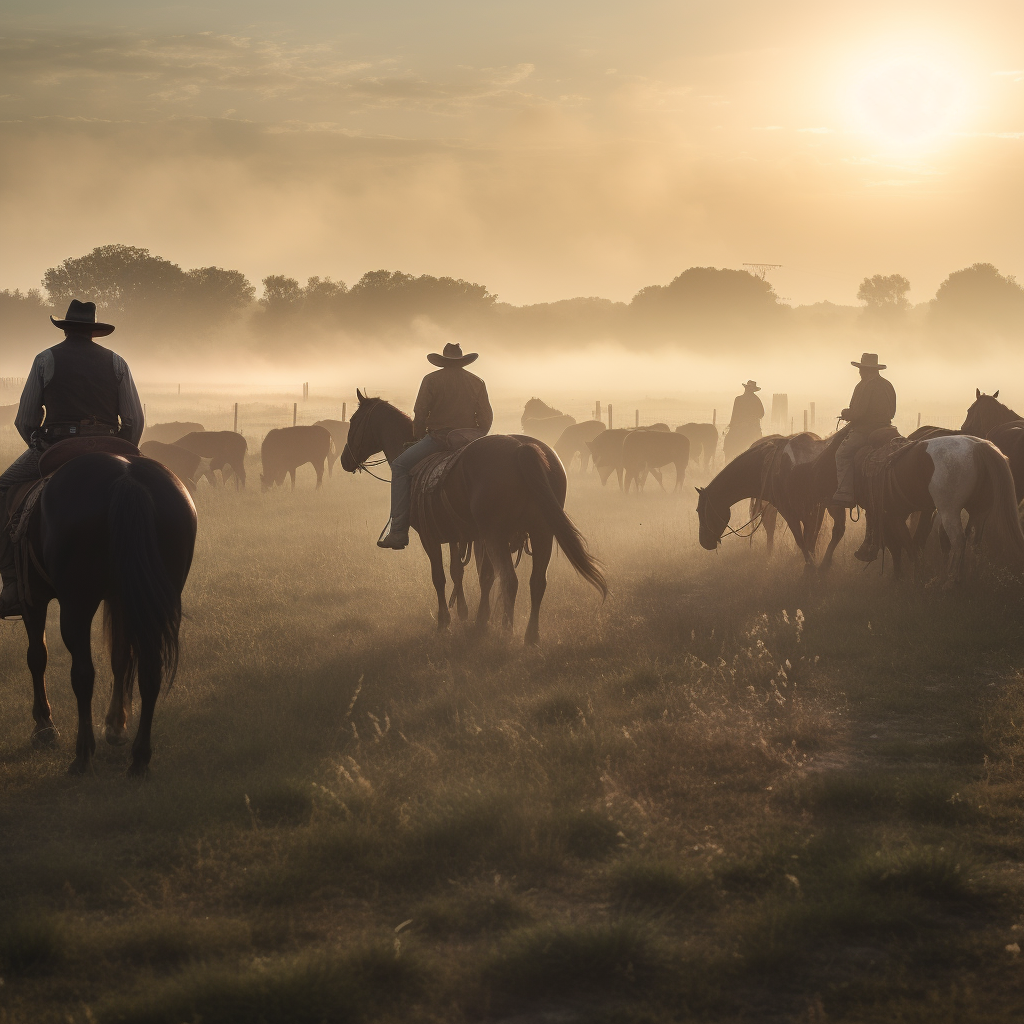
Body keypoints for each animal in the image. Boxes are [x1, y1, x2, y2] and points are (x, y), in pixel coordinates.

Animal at [17, 452, 193, 770]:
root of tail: (126, 479)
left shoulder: (32, 599)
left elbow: (37, 657)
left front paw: (44, 725)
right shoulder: (120, 599)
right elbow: (121, 657)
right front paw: (115, 725)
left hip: (76, 606)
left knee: (83, 674)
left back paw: (83, 755)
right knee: (149, 671)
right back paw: (139, 758)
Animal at [342, 387, 606, 643]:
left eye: (354, 421)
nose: (345, 459)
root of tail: (523, 449)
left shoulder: (431, 537)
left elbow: (440, 576)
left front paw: (445, 621)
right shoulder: (465, 536)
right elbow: (472, 574)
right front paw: (474, 617)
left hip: (499, 536)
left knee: (510, 580)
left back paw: (507, 631)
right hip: (542, 532)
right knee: (537, 581)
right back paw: (531, 635)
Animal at [696, 432, 847, 573]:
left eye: (699, 510)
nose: (703, 542)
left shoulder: (798, 512)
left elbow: (803, 539)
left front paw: (809, 567)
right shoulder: (814, 510)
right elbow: (809, 539)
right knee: (838, 530)